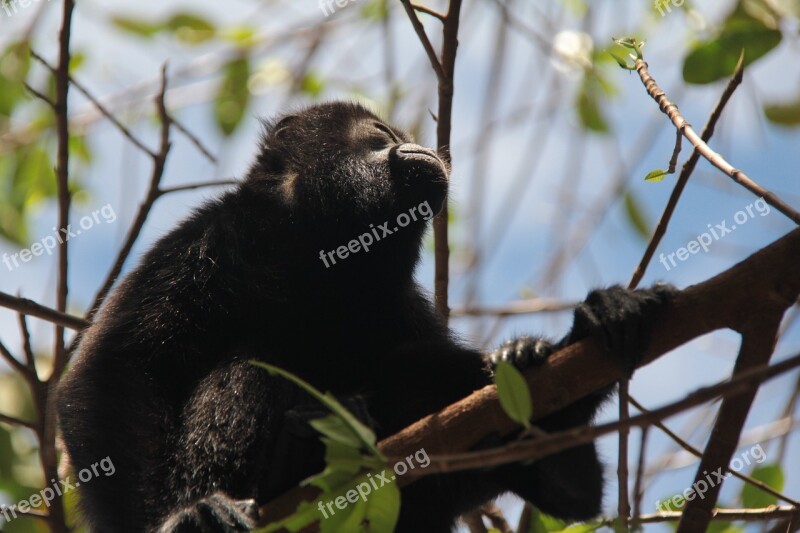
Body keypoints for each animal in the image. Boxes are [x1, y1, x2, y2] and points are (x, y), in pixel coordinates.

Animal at [56, 101, 672, 532]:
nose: (418, 145)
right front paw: (175, 518)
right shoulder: (204, 243)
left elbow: (574, 497)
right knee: (249, 370)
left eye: (396, 136)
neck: (325, 260)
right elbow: (115, 370)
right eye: (381, 135)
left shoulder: (402, 303)